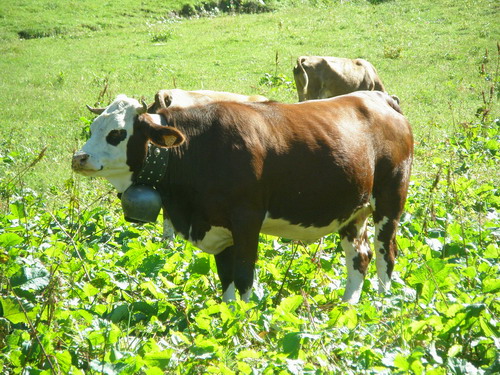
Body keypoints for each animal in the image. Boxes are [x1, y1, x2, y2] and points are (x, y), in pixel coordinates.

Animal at [71, 92, 414, 306]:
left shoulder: (247, 219)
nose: (79, 158)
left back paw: (382, 307)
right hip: (353, 210)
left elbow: (244, 276)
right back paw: (347, 309)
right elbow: (226, 280)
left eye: (117, 133)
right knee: (360, 256)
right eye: (93, 128)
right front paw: (227, 319)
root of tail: (379, 98)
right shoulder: (217, 226)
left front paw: (245, 323)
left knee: (385, 254)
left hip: (390, 200)